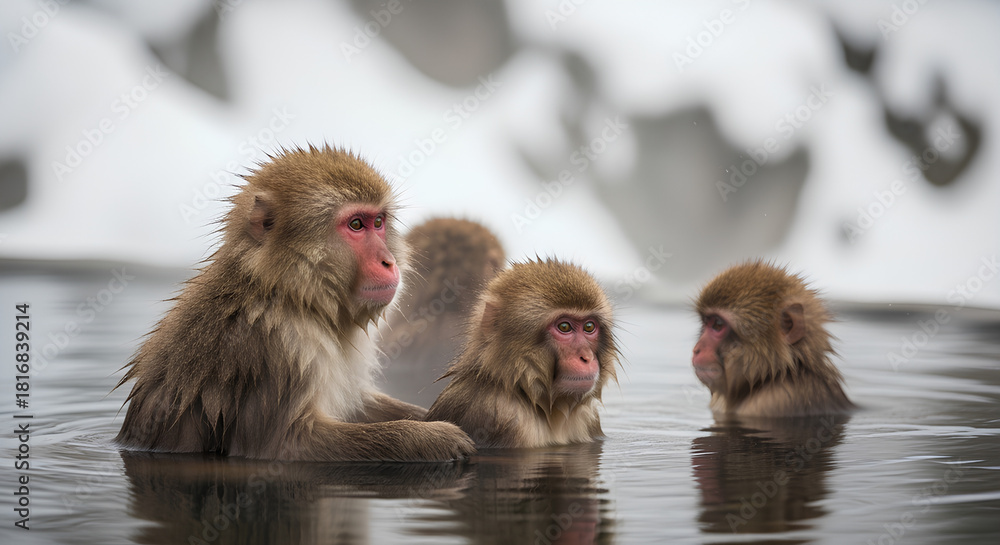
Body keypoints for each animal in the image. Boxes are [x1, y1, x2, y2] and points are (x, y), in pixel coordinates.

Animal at [114, 145, 474, 462]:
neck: (287, 295)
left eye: (378, 222)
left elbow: (356, 405)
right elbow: (285, 446)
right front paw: (432, 438)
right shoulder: (276, 348)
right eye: (356, 224)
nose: (389, 262)